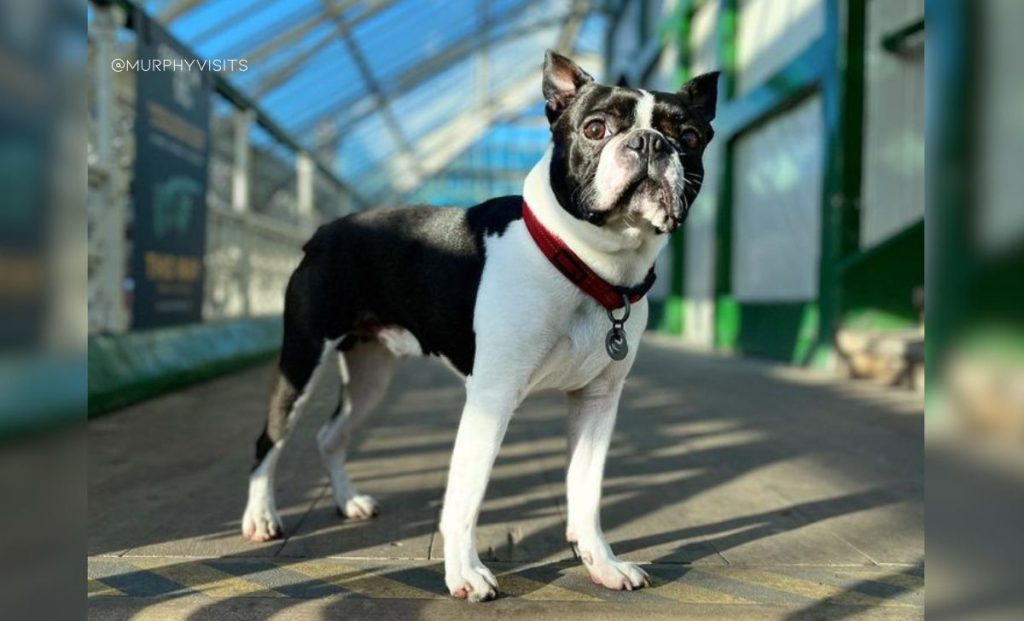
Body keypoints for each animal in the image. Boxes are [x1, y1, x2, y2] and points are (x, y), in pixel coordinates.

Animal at [242, 51, 716, 602]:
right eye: (595, 128)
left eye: (688, 136)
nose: (650, 143)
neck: (587, 266)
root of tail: (326, 229)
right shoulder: (492, 398)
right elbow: (467, 494)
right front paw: (465, 573)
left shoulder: (598, 402)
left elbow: (586, 490)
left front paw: (602, 563)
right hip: (302, 357)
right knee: (271, 437)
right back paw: (261, 517)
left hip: (370, 379)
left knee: (330, 434)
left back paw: (348, 501)